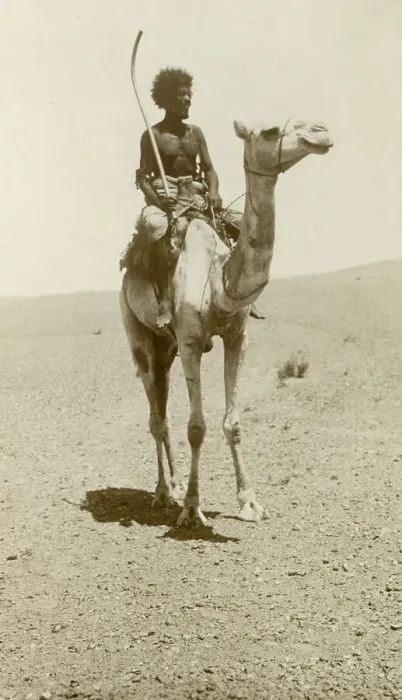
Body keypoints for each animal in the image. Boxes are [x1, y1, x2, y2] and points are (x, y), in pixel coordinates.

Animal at [119, 117, 333, 528]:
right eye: (269, 131)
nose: (321, 131)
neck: (218, 281)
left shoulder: (237, 337)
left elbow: (232, 423)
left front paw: (250, 503)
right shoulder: (189, 341)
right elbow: (196, 427)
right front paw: (191, 509)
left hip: (165, 345)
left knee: (162, 406)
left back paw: (171, 486)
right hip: (137, 332)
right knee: (156, 414)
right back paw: (163, 494)